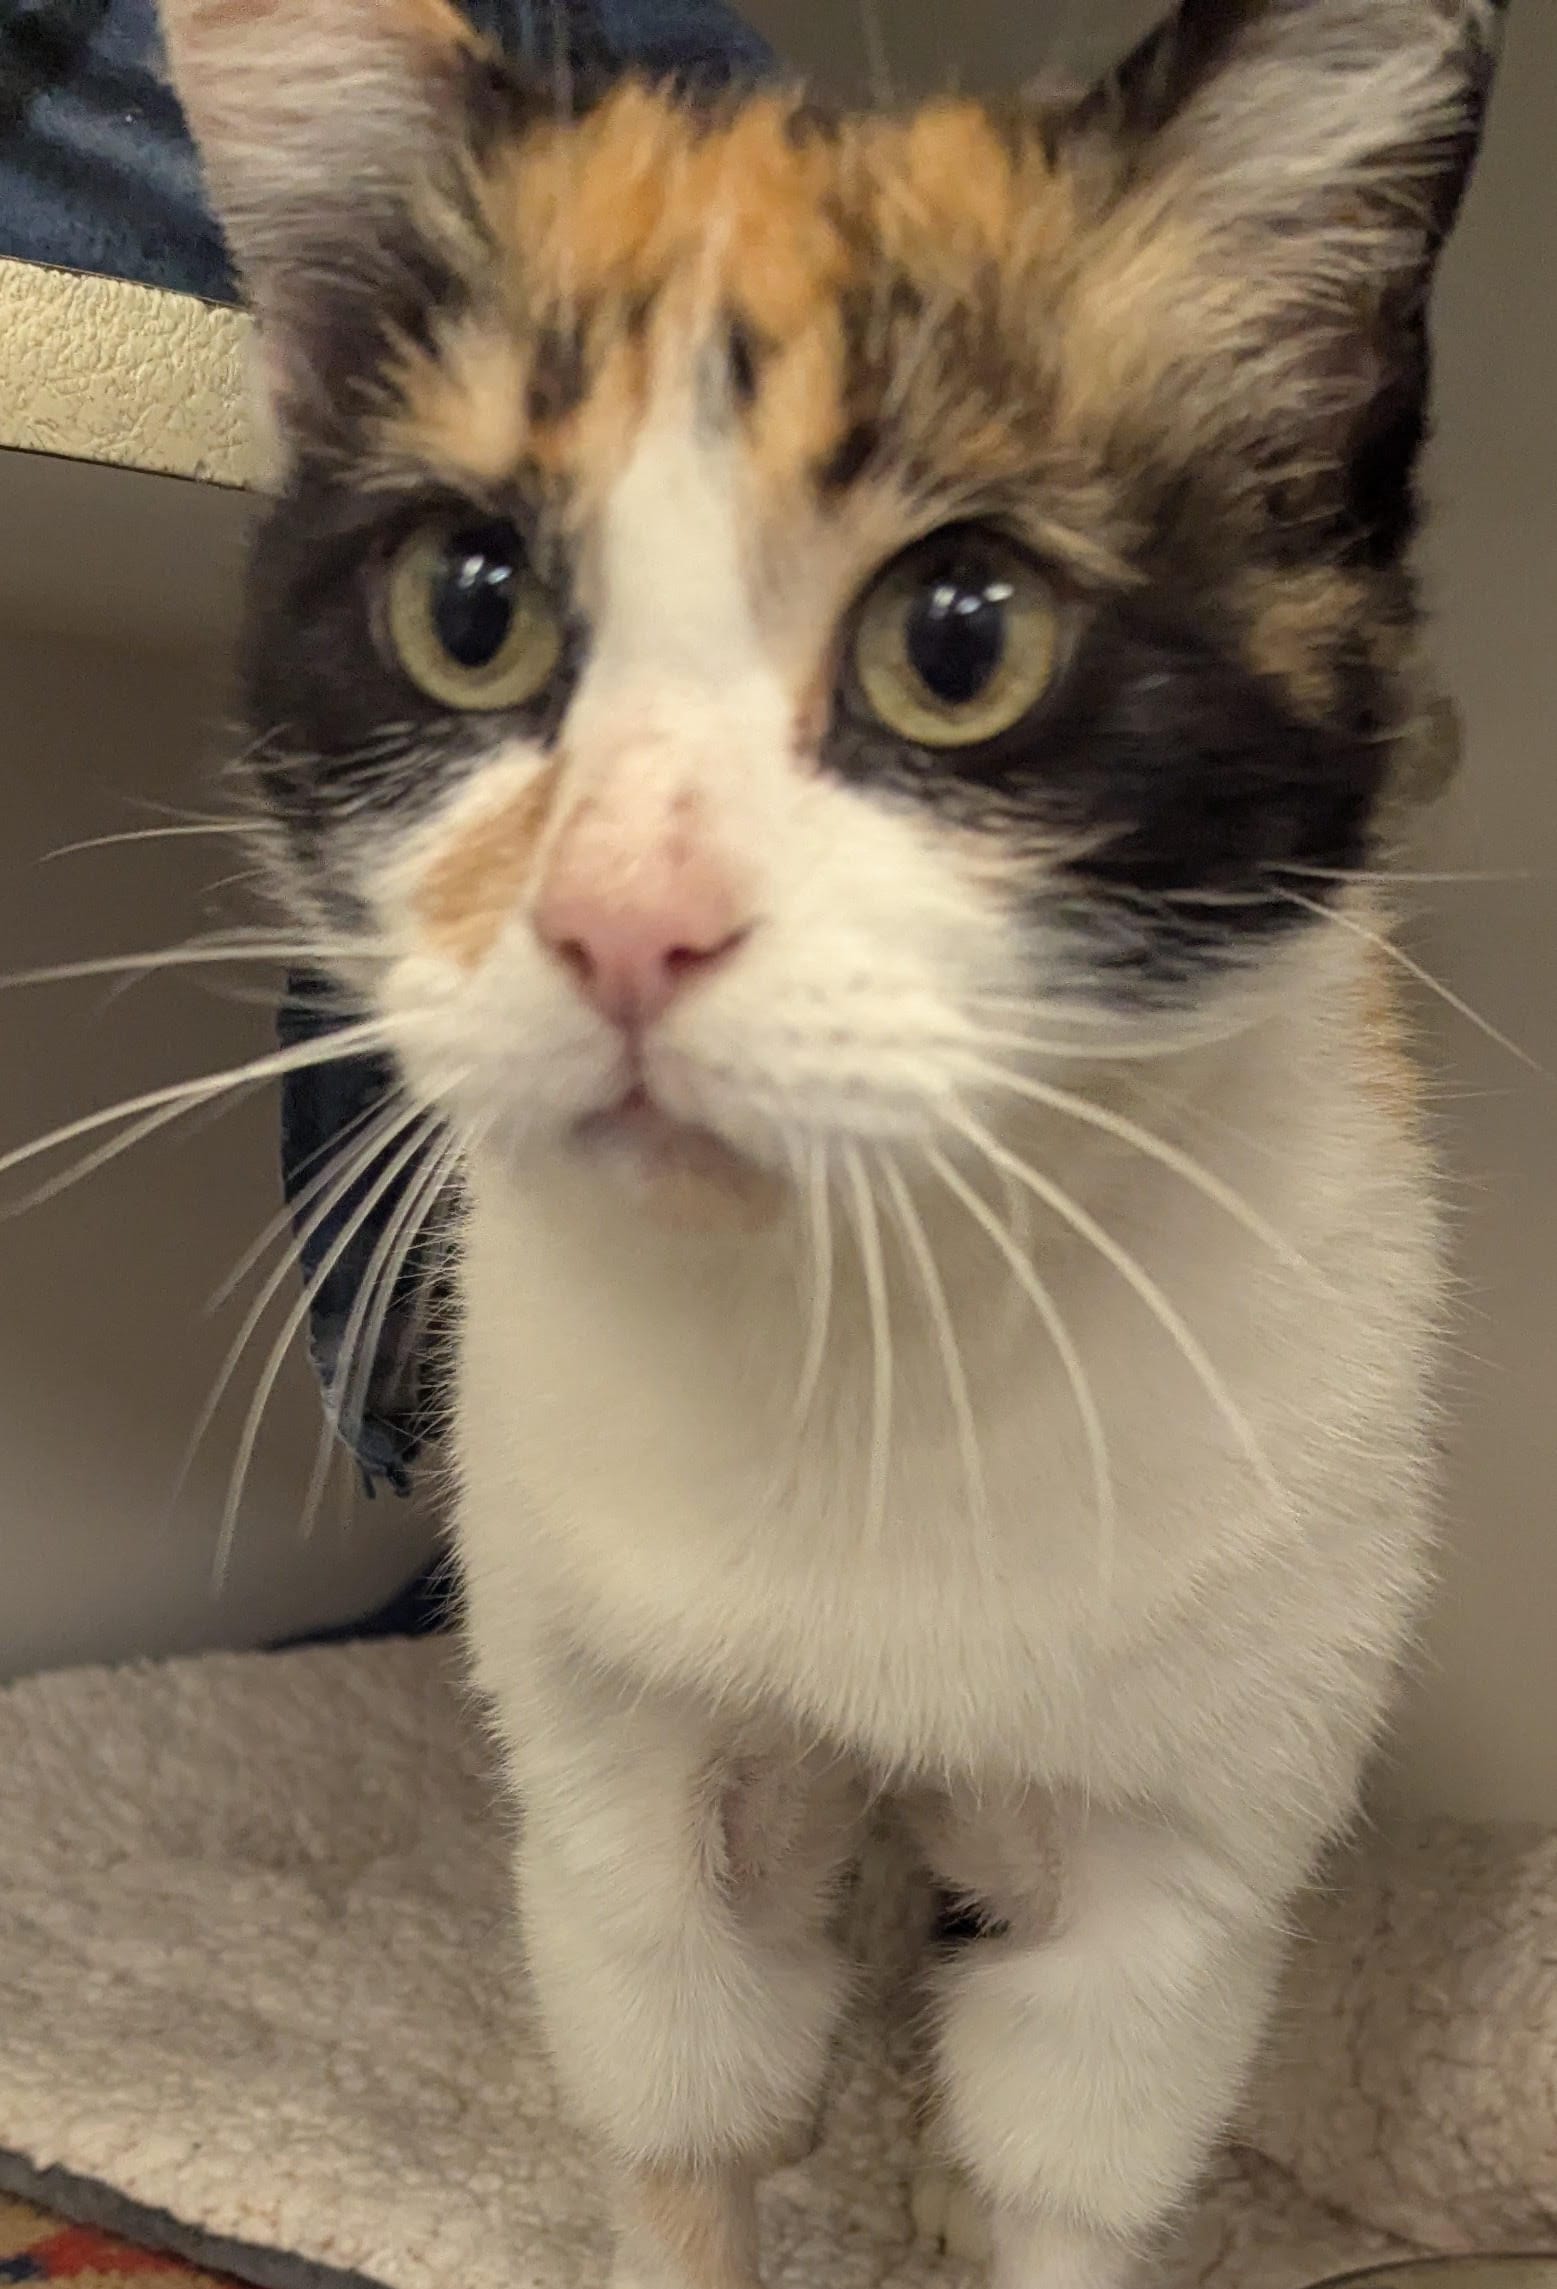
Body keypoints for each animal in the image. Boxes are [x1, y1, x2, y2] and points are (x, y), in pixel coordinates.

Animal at [161, 4, 1511, 2289]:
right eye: (467, 603)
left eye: (957, 636)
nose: (622, 915)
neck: (871, 1337)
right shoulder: (608, 1739)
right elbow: (685, 2079)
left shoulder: (1198, 1826)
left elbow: (1079, 2143)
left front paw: (988, 2192)